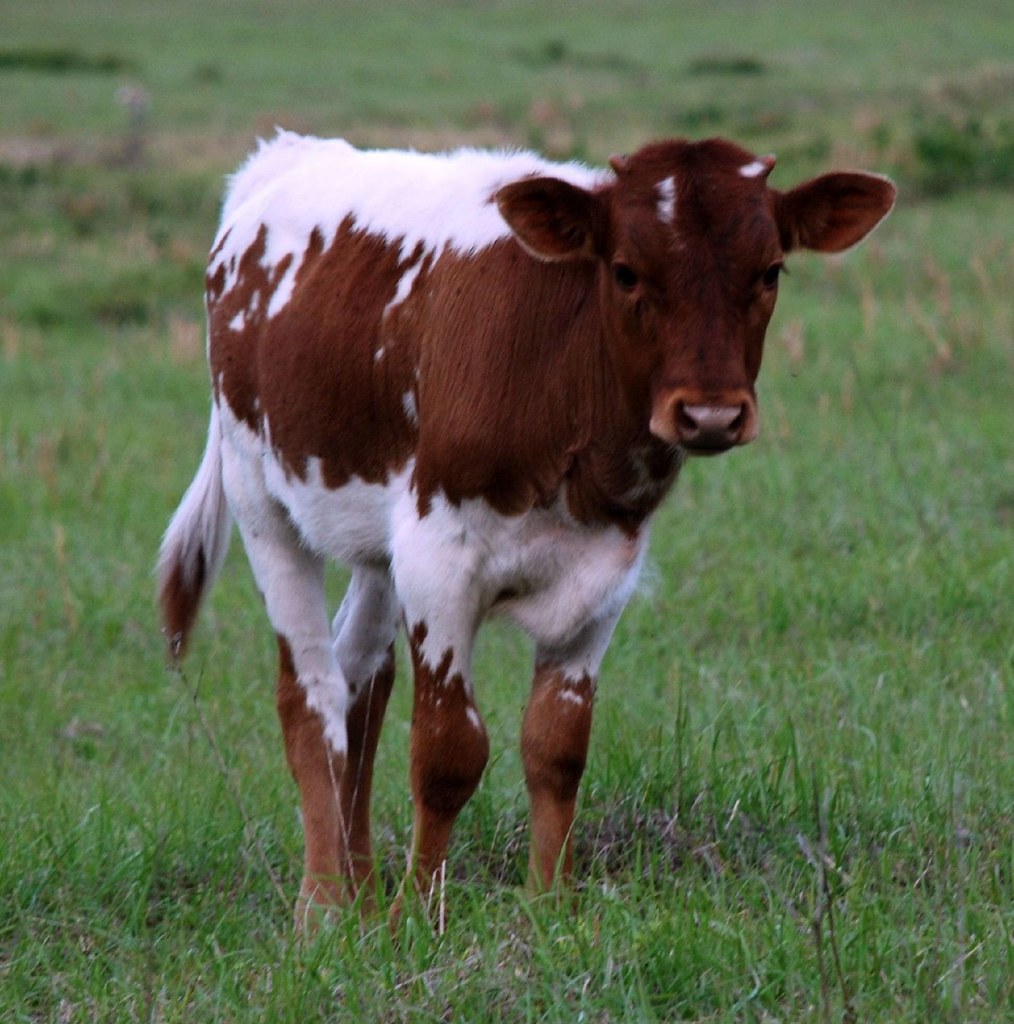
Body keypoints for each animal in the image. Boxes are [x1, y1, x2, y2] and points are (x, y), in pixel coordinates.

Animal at [157, 131, 894, 925]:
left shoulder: (605, 575)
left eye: (770, 271)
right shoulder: (438, 561)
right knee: (312, 692)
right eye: (625, 271)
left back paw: (361, 892)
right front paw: (422, 912)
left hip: (376, 537)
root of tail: (284, 155)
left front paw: (550, 906)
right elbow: (448, 751)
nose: (710, 415)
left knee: (361, 681)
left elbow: (557, 746)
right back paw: (322, 906)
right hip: (261, 499)